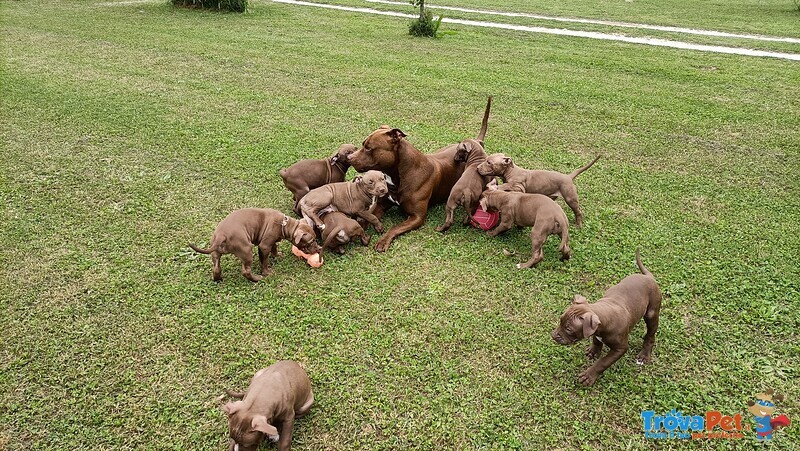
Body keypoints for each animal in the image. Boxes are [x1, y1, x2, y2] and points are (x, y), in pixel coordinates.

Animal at [189, 209, 320, 282]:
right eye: (311, 241)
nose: (319, 248)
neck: (284, 224)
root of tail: (222, 235)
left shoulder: (271, 241)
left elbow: (274, 247)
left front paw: (277, 255)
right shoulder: (264, 246)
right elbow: (264, 261)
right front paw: (266, 272)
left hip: (215, 252)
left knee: (216, 267)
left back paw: (218, 279)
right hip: (246, 251)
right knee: (246, 271)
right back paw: (257, 279)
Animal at [346, 97, 490, 252]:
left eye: (368, 148)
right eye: (363, 145)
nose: (349, 157)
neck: (399, 175)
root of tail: (476, 142)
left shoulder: (417, 217)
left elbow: (395, 227)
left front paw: (383, 240)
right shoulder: (381, 205)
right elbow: (369, 218)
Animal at [552, 249, 664, 386]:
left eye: (569, 330)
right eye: (560, 321)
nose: (553, 335)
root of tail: (648, 277)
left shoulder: (620, 348)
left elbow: (603, 362)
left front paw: (589, 376)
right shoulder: (595, 331)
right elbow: (596, 340)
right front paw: (593, 351)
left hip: (651, 313)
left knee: (650, 335)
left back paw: (644, 355)